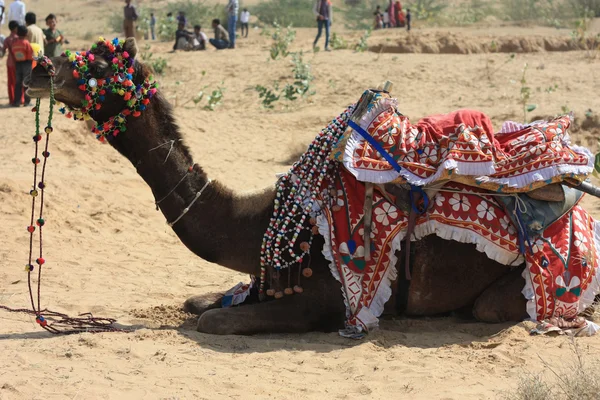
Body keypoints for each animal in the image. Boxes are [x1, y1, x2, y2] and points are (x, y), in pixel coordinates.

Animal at [24, 39, 596, 336]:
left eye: (98, 65)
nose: (37, 68)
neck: (259, 221)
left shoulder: (327, 299)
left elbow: (211, 321)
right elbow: (199, 301)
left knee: (492, 309)